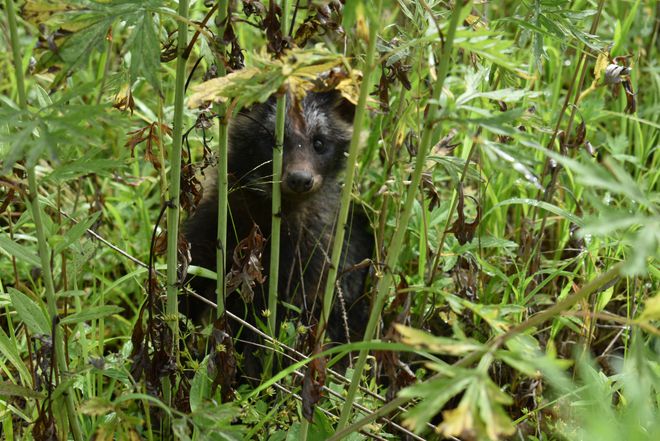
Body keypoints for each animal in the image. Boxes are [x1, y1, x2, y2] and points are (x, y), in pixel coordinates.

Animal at [183, 90, 374, 378]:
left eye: (319, 142)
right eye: (272, 140)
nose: (300, 179)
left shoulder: (314, 251)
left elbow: (286, 314)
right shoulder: (214, 221)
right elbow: (190, 280)